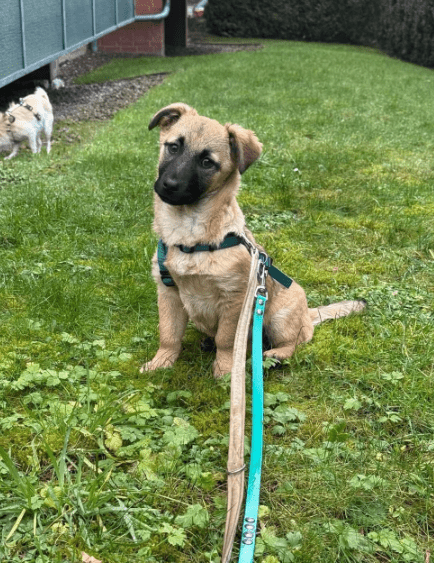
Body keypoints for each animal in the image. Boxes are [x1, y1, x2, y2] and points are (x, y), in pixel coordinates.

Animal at [142, 103, 362, 376]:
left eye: (207, 162)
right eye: (173, 147)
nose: (169, 186)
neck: (190, 236)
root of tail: (307, 314)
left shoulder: (234, 300)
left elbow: (227, 340)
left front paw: (226, 371)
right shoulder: (168, 293)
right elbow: (169, 334)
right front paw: (161, 362)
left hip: (279, 317)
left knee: (294, 342)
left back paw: (275, 355)